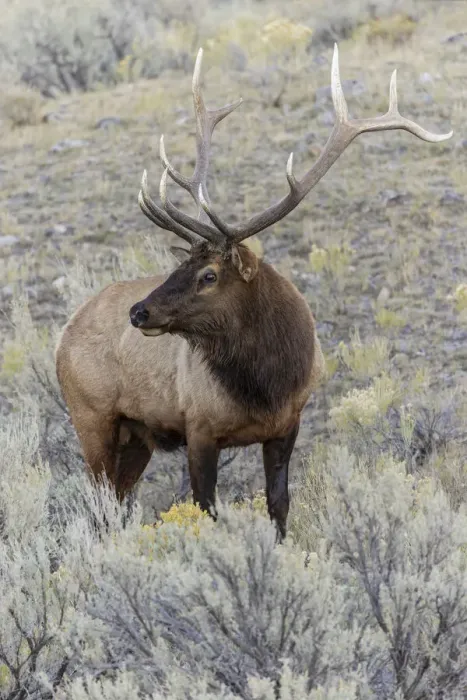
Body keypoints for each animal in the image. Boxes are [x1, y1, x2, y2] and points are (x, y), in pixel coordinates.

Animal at [55, 44, 452, 540]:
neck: (265, 383)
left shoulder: (288, 425)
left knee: (113, 505)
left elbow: (278, 504)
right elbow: (206, 510)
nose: (139, 312)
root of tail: (63, 334)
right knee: (96, 506)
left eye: (208, 274)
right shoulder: (199, 428)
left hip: (135, 437)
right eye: (179, 265)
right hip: (91, 418)